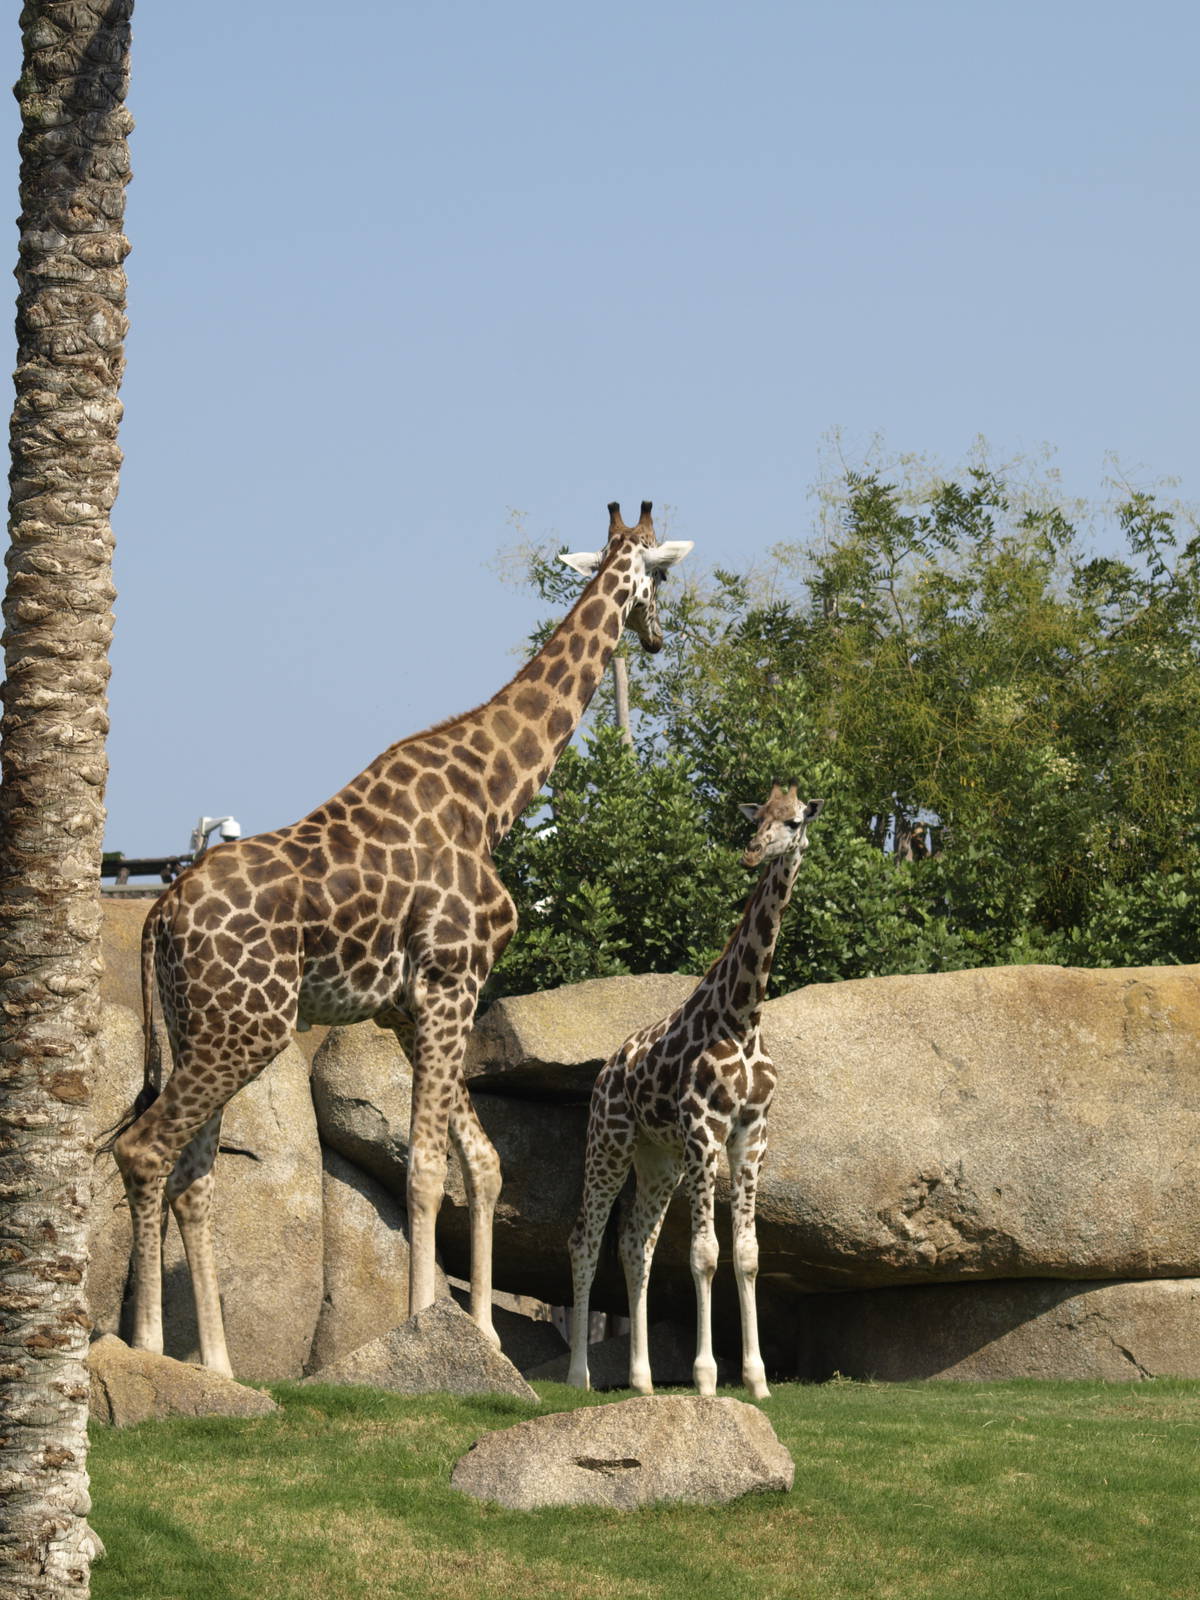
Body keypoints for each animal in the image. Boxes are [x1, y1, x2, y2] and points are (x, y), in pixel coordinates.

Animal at [113, 502, 692, 1378]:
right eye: (662, 576)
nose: (656, 638)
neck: (492, 796)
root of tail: (160, 911)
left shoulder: (410, 1007)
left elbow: (481, 1163)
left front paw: (482, 1338)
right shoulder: (451, 980)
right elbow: (424, 1170)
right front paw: (422, 1329)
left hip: (197, 1026)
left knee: (194, 1172)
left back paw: (214, 1363)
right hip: (250, 1026)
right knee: (147, 1152)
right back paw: (149, 1352)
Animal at [567, 784, 823, 1400]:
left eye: (795, 821)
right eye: (759, 817)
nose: (753, 852)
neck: (743, 1016)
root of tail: (606, 1070)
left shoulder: (751, 1133)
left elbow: (747, 1254)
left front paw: (757, 1380)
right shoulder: (705, 1128)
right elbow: (705, 1253)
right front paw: (707, 1380)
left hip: (658, 1159)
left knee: (635, 1243)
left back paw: (642, 1381)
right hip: (609, 1142)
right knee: (585, 1239)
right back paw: (578, 1377)